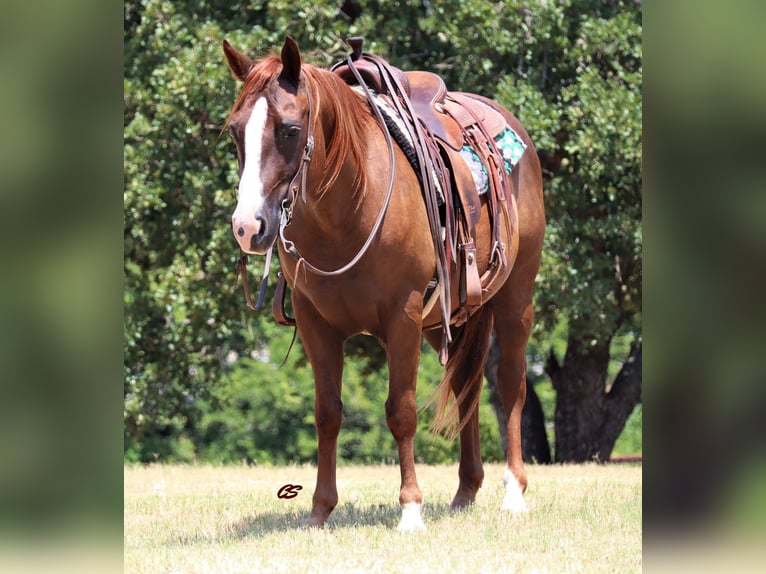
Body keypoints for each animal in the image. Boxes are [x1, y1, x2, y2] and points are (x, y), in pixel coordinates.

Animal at [222, 35, 544, 532]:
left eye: (290, 130)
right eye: (235, 132)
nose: (247, 227)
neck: (350, 208)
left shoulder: (403, 318)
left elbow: (401, 412)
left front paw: (410, 509)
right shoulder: (316, 324)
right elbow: (327, 413)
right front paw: (320, 510)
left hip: (515, 299)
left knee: (511, 384)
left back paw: (513, 492)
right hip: (448, 321)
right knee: (465, 387)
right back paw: (466, 491)